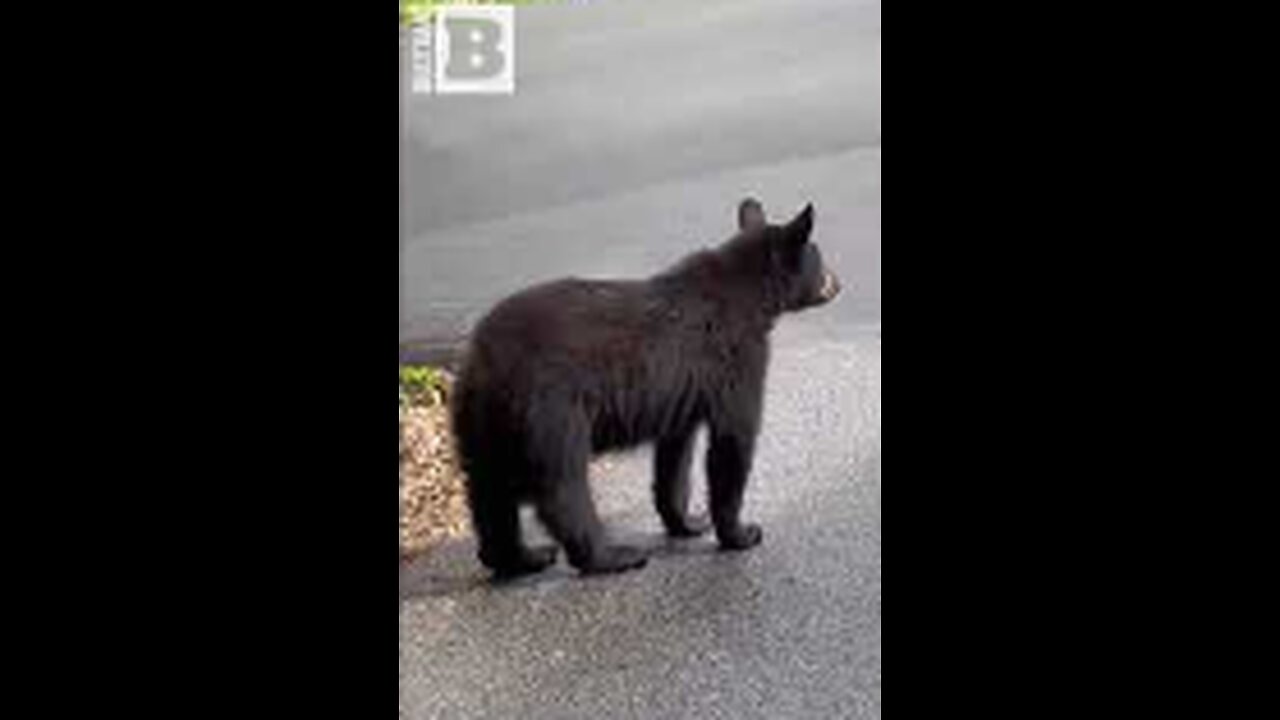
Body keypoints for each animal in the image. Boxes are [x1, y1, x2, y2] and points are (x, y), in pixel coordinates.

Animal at [450, 197, 839, 576]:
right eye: (820, 258)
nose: (838, 282)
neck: (750, 294)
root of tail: (485, 358)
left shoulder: (682, 392)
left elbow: (675, 456)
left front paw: (688, 521)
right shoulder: (735, 358)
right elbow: (733, 439)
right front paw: (740, 533)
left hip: (480, 417)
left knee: (486, 489)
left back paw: (518, 557)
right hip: (551, 407)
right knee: (561, 483)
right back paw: (610, 555)